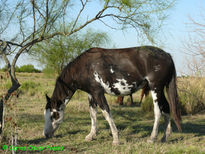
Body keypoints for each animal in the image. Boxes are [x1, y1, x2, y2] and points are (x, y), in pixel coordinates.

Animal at [43, 45, 181, 144]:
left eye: (54, 115)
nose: (45, 134)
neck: (85, 66)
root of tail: (167, 55)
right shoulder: (91, 94)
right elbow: (93, 114)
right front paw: (91, 136)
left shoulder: (98, 93)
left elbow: (106, 113)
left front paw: (116, 139)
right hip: (161, 89)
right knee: (166, 108)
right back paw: (165, 137)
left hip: (155, 88)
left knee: (158, 111)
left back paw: (152, 138)